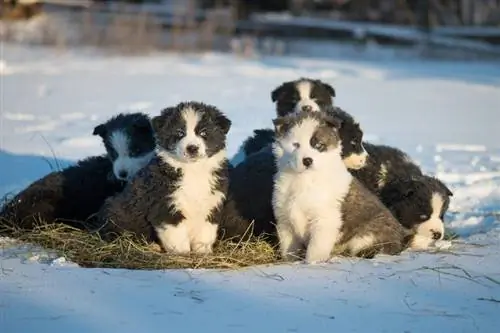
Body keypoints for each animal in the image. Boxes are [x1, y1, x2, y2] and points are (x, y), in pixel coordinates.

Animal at [270, 111, 406, 262]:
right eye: (296, 145)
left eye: (319, 145)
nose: (307, 161)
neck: (304, 178)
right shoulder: (285, 220)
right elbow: (289, 249)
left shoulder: (325, 220)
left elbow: (315, 249)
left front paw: (312, 263)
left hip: (367, 235)